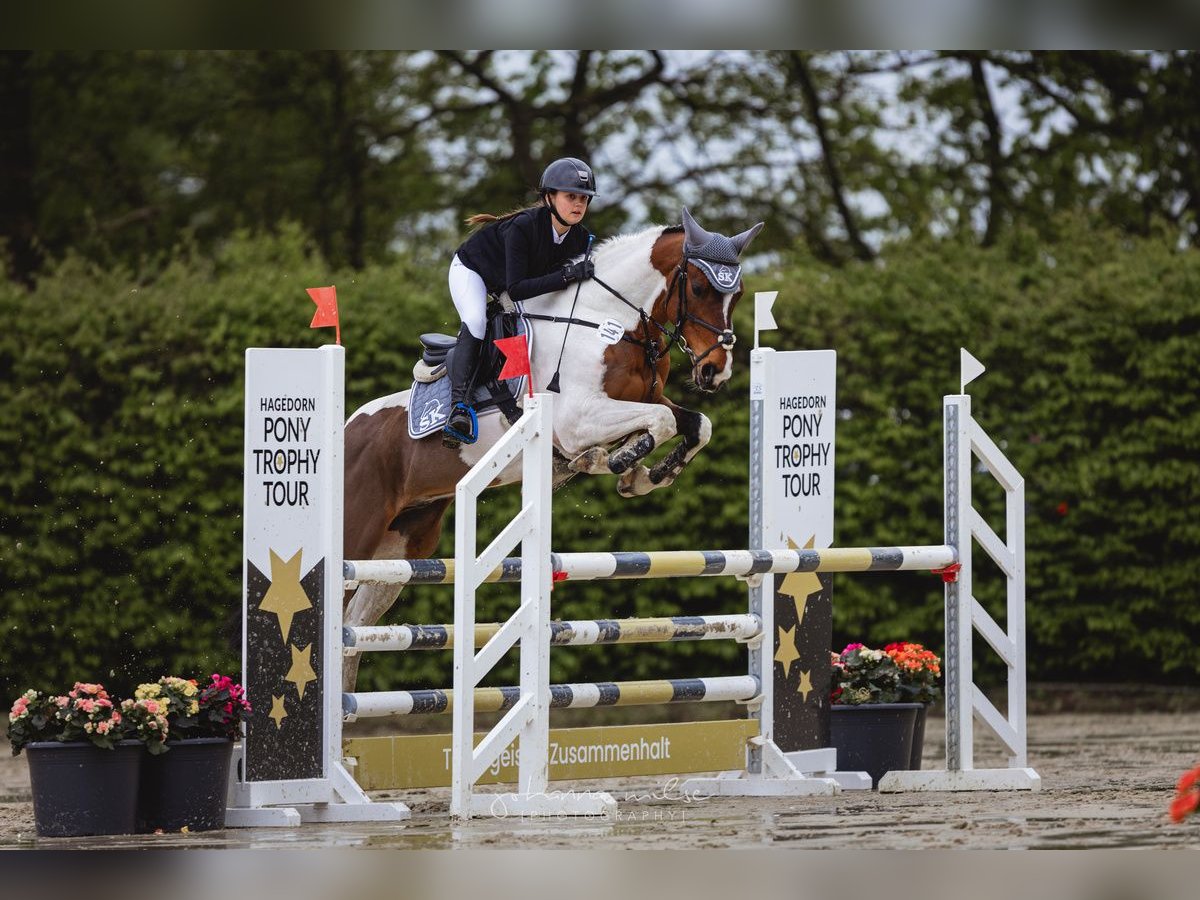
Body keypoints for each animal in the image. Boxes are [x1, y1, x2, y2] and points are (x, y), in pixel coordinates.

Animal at [343, 210, 763, 691]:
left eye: (738, 294)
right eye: (698, 288)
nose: (715, 372)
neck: (609, 323)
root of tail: (347, 431)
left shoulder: (647, 398)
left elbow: (694, 424)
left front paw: (646, 474)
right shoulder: (577, 419)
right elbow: (662, 423)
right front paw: (617, 461)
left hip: (399, 552)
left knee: (354, 628)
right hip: (357, 536)